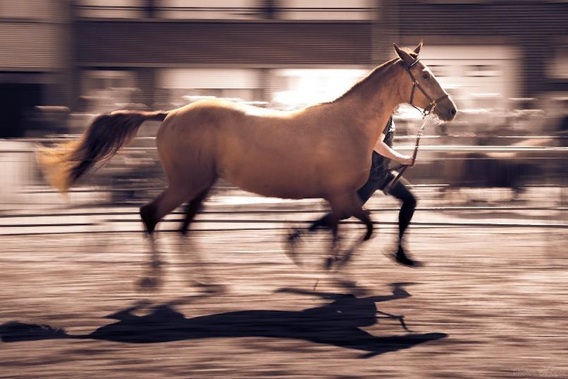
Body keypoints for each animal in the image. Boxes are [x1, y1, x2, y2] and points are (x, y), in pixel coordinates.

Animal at [37, 41, 458, 284]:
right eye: (424, 74)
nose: (451, 110)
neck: (350, 124)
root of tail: (169, 113)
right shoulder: (343, 195)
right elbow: (364, 229)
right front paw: (331, 265)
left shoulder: (340, 198)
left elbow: (340, 229)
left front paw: (323, 261)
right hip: (187, 183)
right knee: (150, 214)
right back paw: (157, 275)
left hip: (201, 186)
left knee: (181, 229)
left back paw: (206, 281)